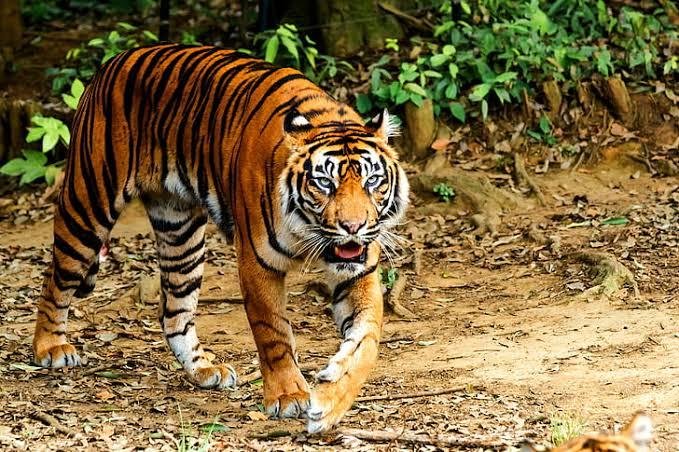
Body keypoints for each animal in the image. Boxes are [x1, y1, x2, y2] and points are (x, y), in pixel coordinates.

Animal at [33, 43, 410, 434]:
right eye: (324, 183)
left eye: (372, 181)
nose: (353, 226)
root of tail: (115, 60)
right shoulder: (257, 262)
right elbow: (273, 332)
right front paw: (288, 396)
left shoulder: (358, 272)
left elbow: (367, 339)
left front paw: (331, 401)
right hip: (88, 205)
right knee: (55, 278)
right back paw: (50, 348)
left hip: (180, 233)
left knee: (174, 313)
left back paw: (204, 370)